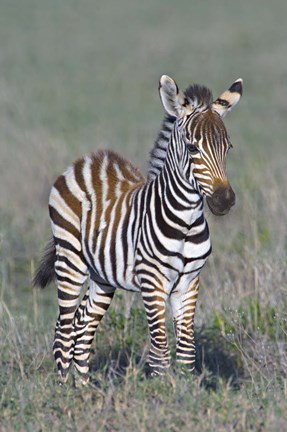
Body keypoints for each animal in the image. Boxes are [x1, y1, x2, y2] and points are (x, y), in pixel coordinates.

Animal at [35, 75, 244, 384]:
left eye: (228, 147)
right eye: (193, 148)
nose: (224, 200)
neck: (186, 221)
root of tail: (87, 160)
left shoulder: (189, 282)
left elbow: (186, 350)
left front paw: (185, 390)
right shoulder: (152, 280)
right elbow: (160, 349)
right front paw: (162, 390)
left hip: (103, 275)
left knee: (83, 324)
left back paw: (81, 388)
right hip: (70, 259)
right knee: (64, 327)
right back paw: (63, 390)